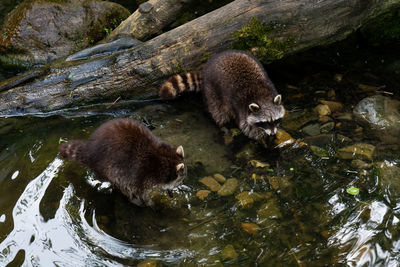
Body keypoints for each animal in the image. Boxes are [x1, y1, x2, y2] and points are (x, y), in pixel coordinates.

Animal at [58, 118, 187, 208]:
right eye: (179, 181)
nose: (172, 194)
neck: (163, 159)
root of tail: (89, 150)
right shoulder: (142, 174)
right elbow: (140, 191)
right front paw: (148, 202)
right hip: (112, 168)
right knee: (122, 183)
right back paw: (133, 200)